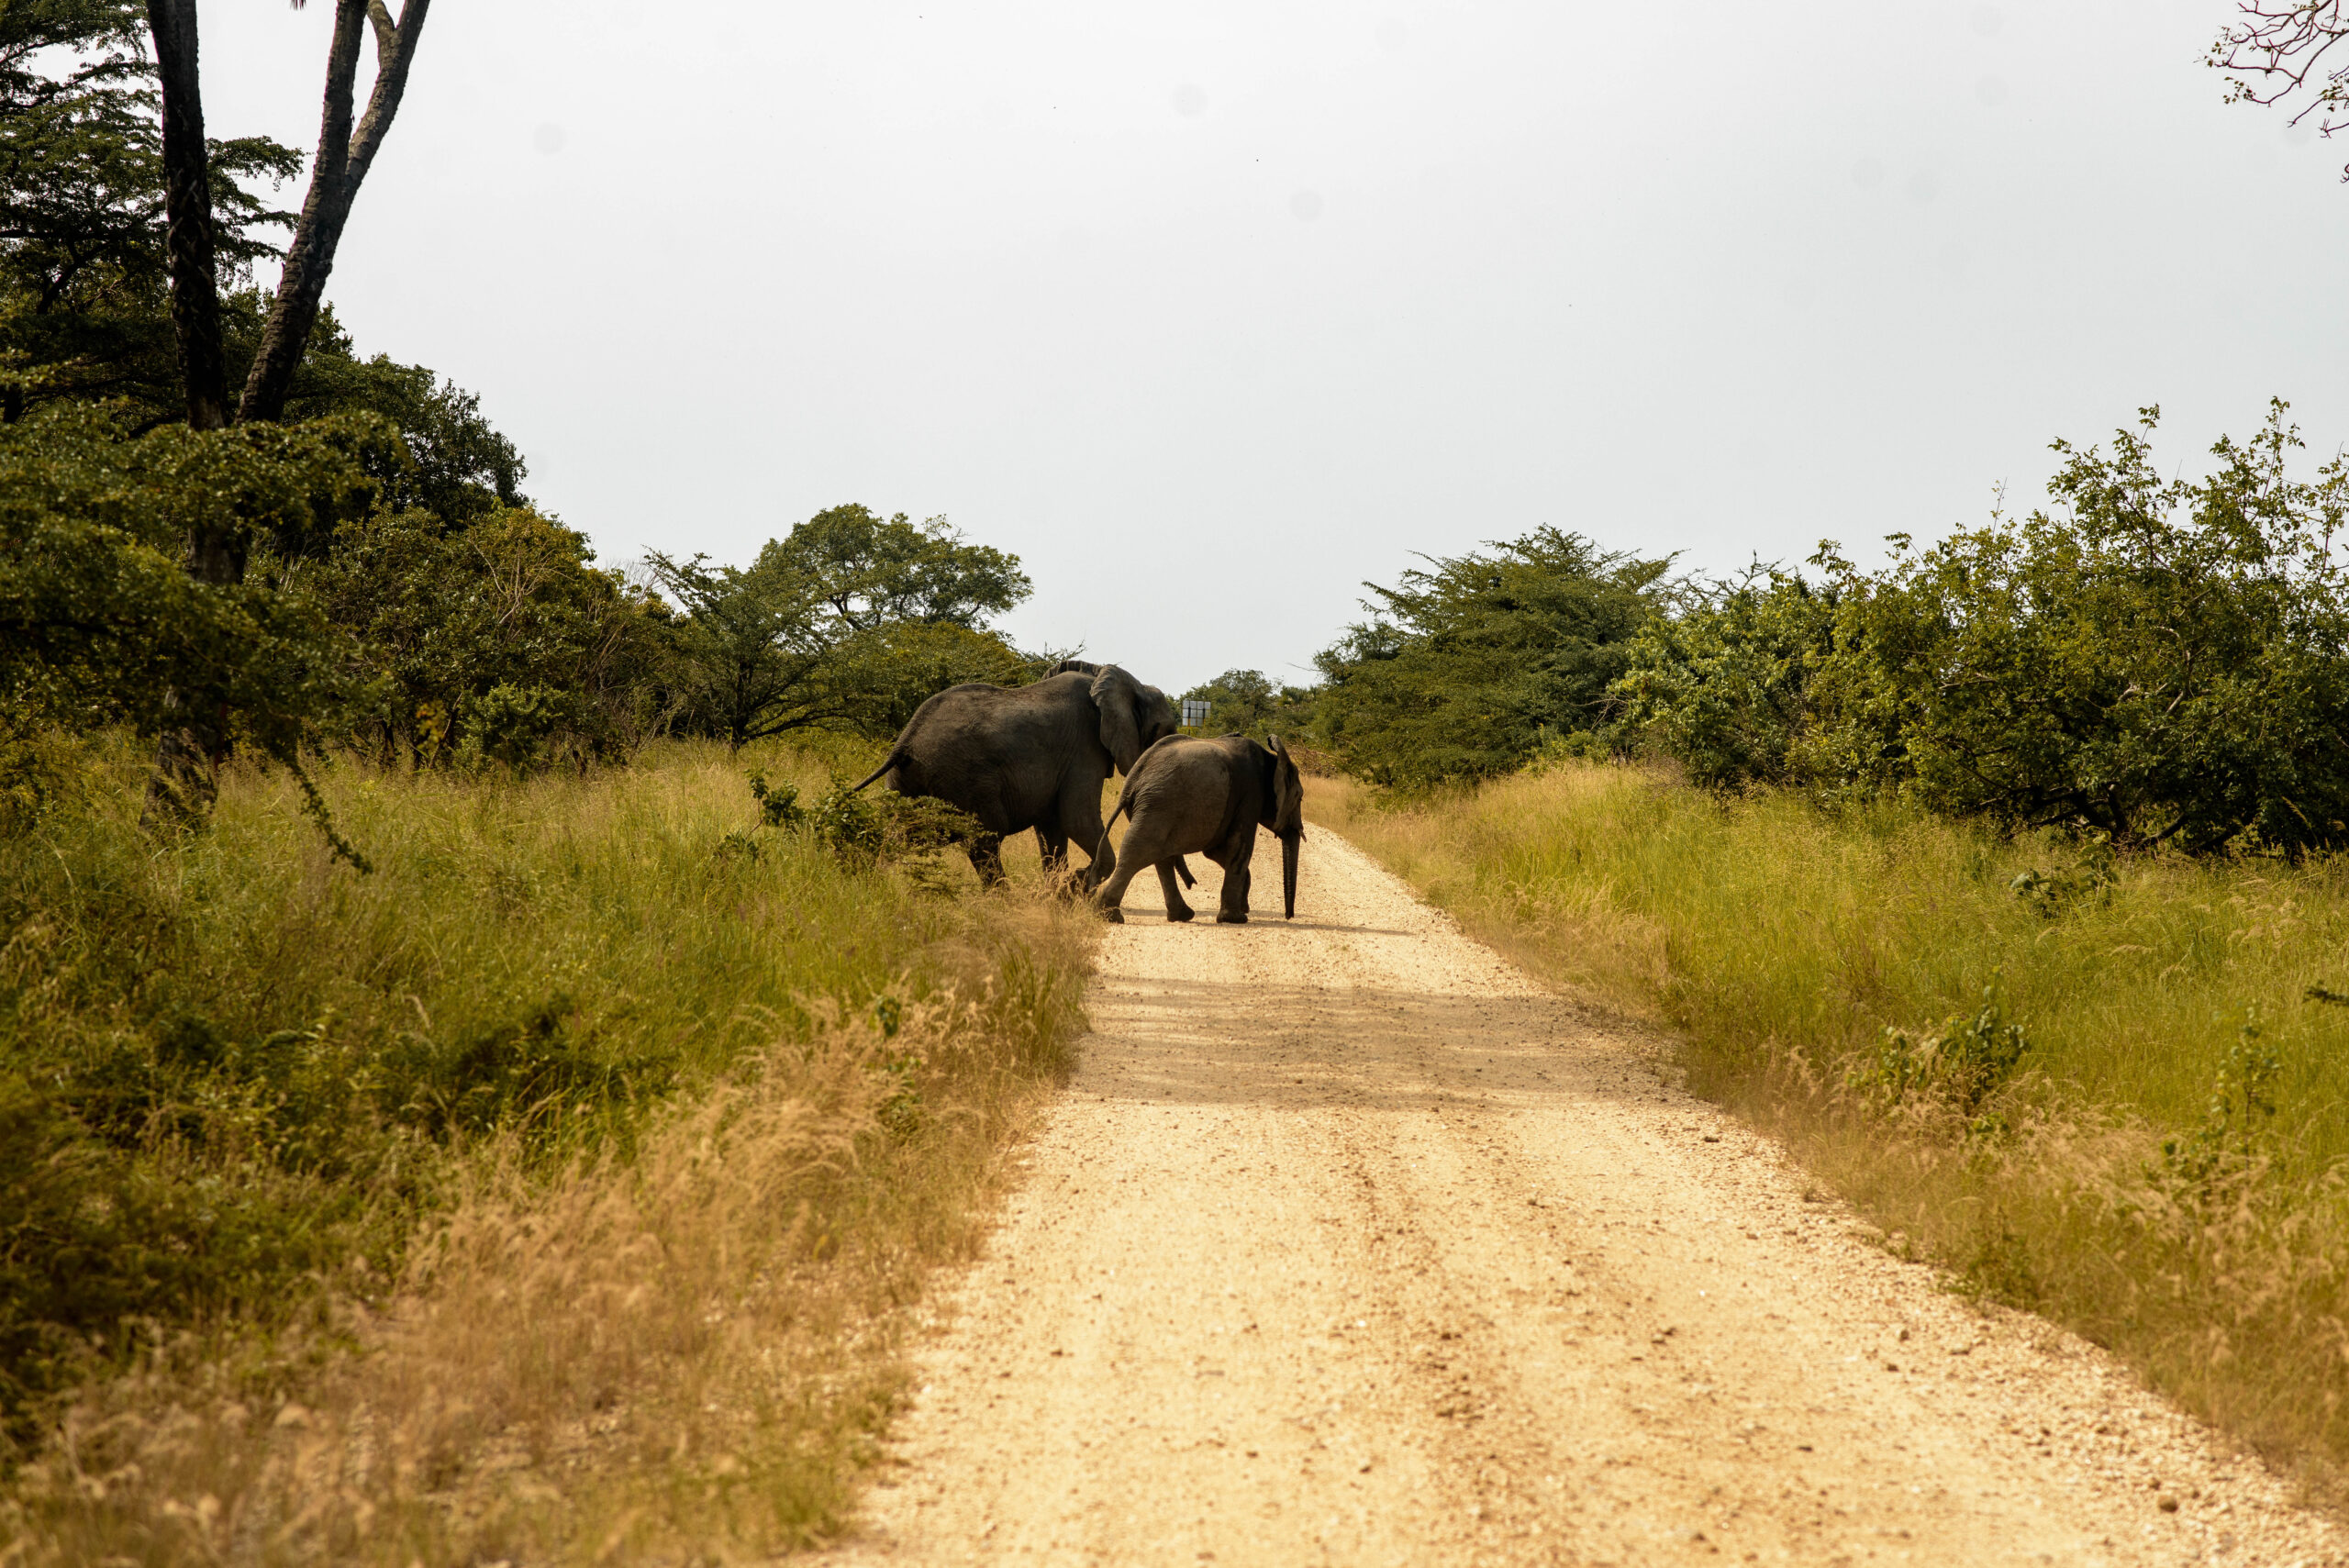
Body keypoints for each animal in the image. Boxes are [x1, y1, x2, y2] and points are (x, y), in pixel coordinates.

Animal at [851, 663, 1182, 888]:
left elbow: (1052, 830)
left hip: (906, 781)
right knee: (984, 841)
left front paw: (1058, 892)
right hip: (965, 778)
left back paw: (886, 888)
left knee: (897, 837)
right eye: (1164, 730)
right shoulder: (1084, 748)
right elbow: (1076, 818)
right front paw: (1074, 887)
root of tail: (906, 739)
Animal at [1093, 734, 1306, 924]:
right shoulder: (1250, 794)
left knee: (1159, 858)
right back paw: (1111, 917)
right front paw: (1236, 919)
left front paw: (1242, 908)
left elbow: (1215, 851)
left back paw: (1179, 916)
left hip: (1152, 807)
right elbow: (1239, 846)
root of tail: (1133, 779)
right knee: (1138, 853)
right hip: (1160, 805)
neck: (1273, 759)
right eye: (1300, 797)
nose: (1289, 916)